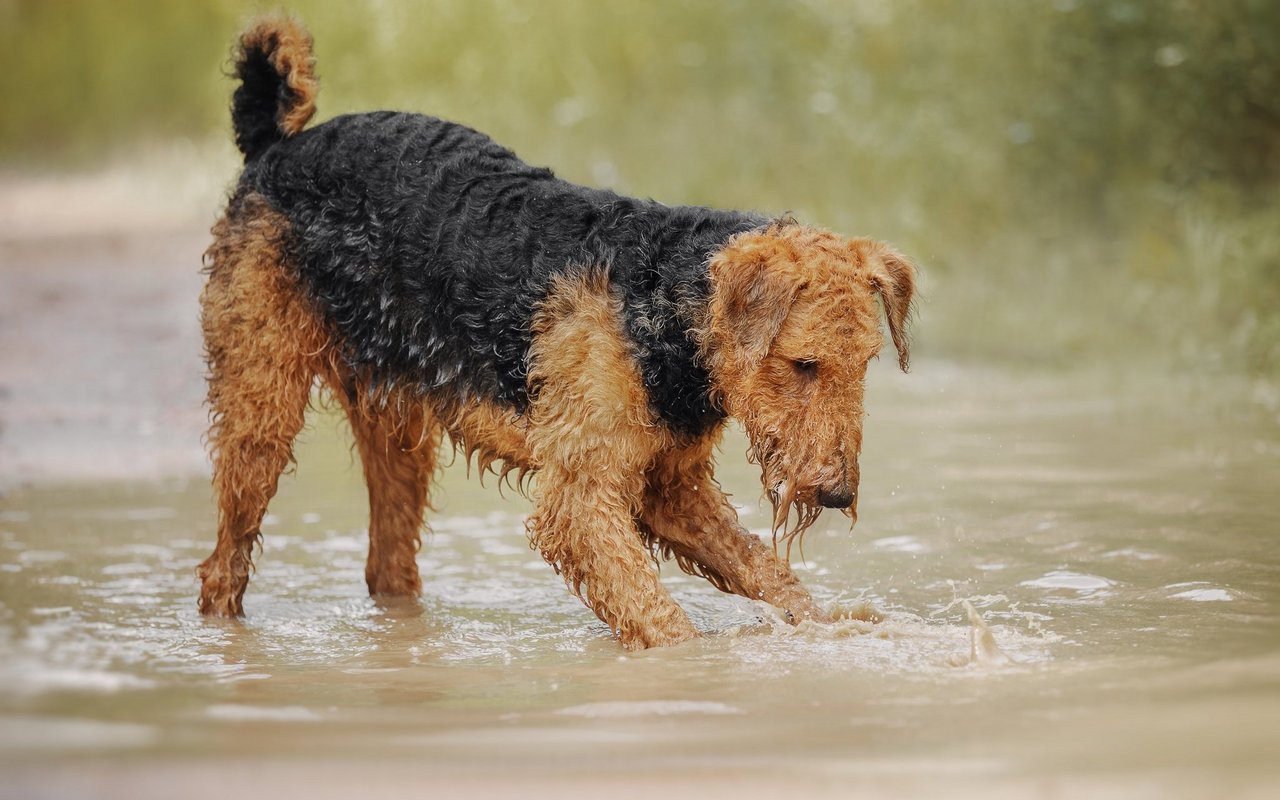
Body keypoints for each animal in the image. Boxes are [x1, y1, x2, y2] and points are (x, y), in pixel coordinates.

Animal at [197, 15, 921, 650]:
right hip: (261, 407)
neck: (662, 308)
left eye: (865, 363)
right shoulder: (579, 501)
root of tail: (276, 145)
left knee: (388, 565)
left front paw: (839, 628)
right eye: (803, 364)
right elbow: (664, 620)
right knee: (222, 565)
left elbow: (765, 574)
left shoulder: (671, 488)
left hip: (396, 427)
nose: (837, 493)